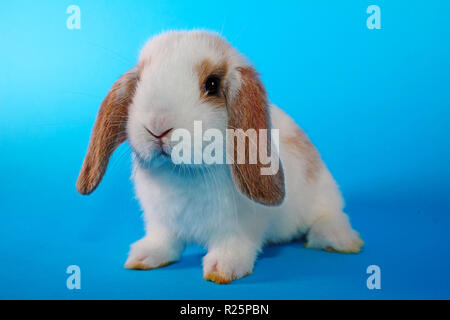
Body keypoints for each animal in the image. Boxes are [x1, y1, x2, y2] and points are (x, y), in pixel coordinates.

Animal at [76, 30, 362, 284]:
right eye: (139, 82)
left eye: (212, 84)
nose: (157, 126)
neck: (183, 173)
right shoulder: (160, 221)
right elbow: (164, 241)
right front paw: (144, 257)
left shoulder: (239, 228)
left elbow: (233, 247)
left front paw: (223, 269)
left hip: (322, 194)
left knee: (332, 214)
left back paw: (338, 240)